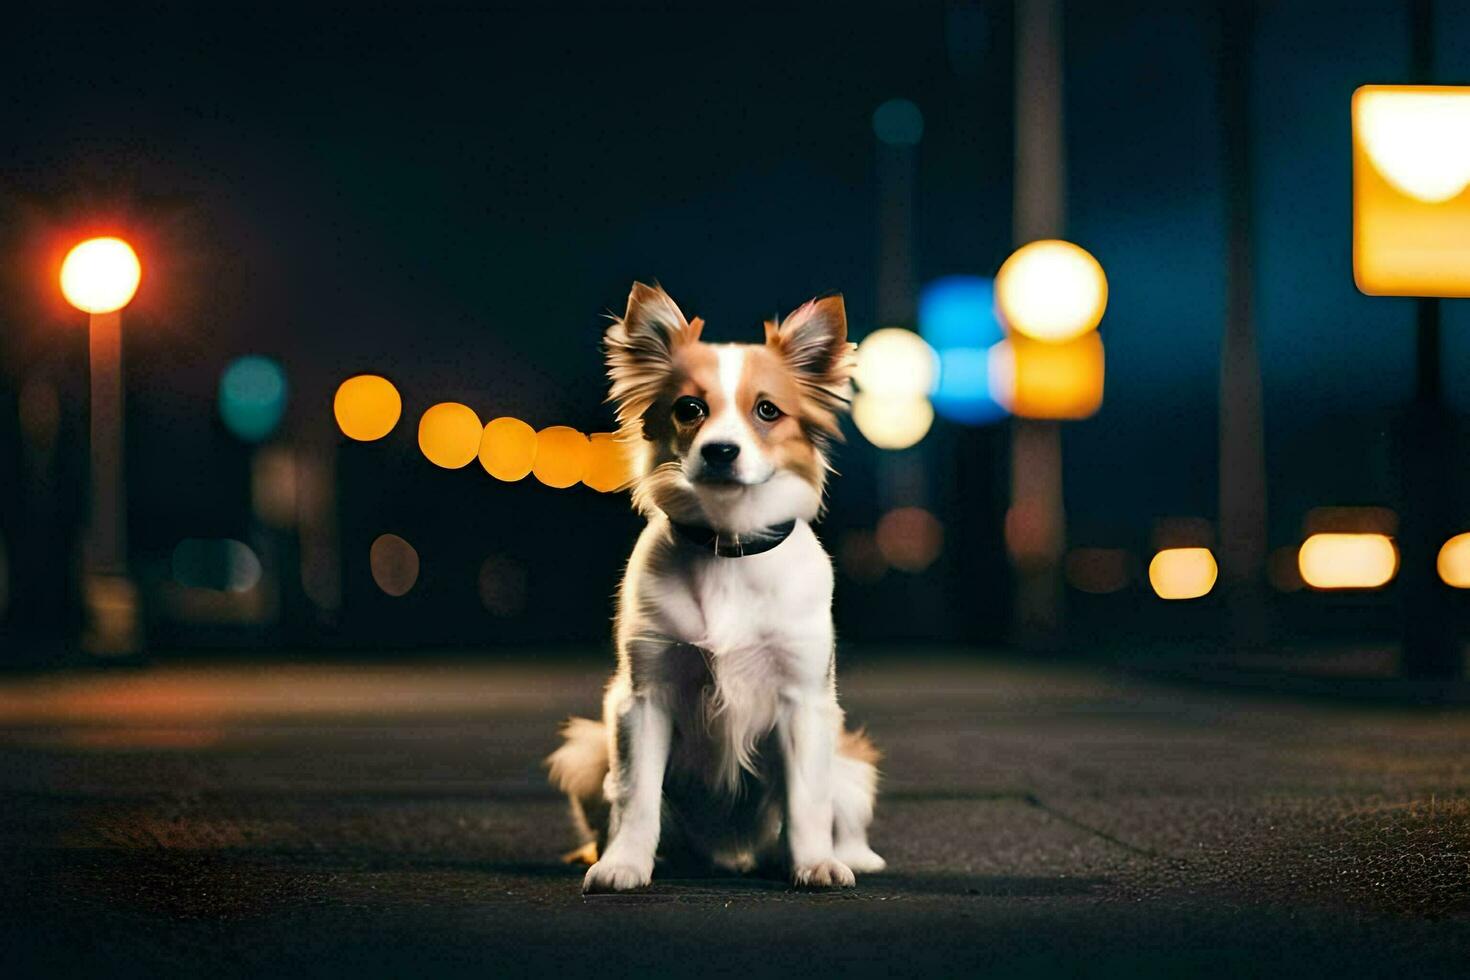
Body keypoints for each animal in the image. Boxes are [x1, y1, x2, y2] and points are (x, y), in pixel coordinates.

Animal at [543, 279, 876, 893]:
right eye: (689, 409)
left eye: (767, 410)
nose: (721, 450)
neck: (728, 542)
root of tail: (729, 853)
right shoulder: (641, 701)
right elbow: (636, 798)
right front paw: (624, 864)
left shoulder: (803, 702)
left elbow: (806, 802)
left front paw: (814, 863)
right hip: (587, 750)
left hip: (851, 763)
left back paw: (846, 856)